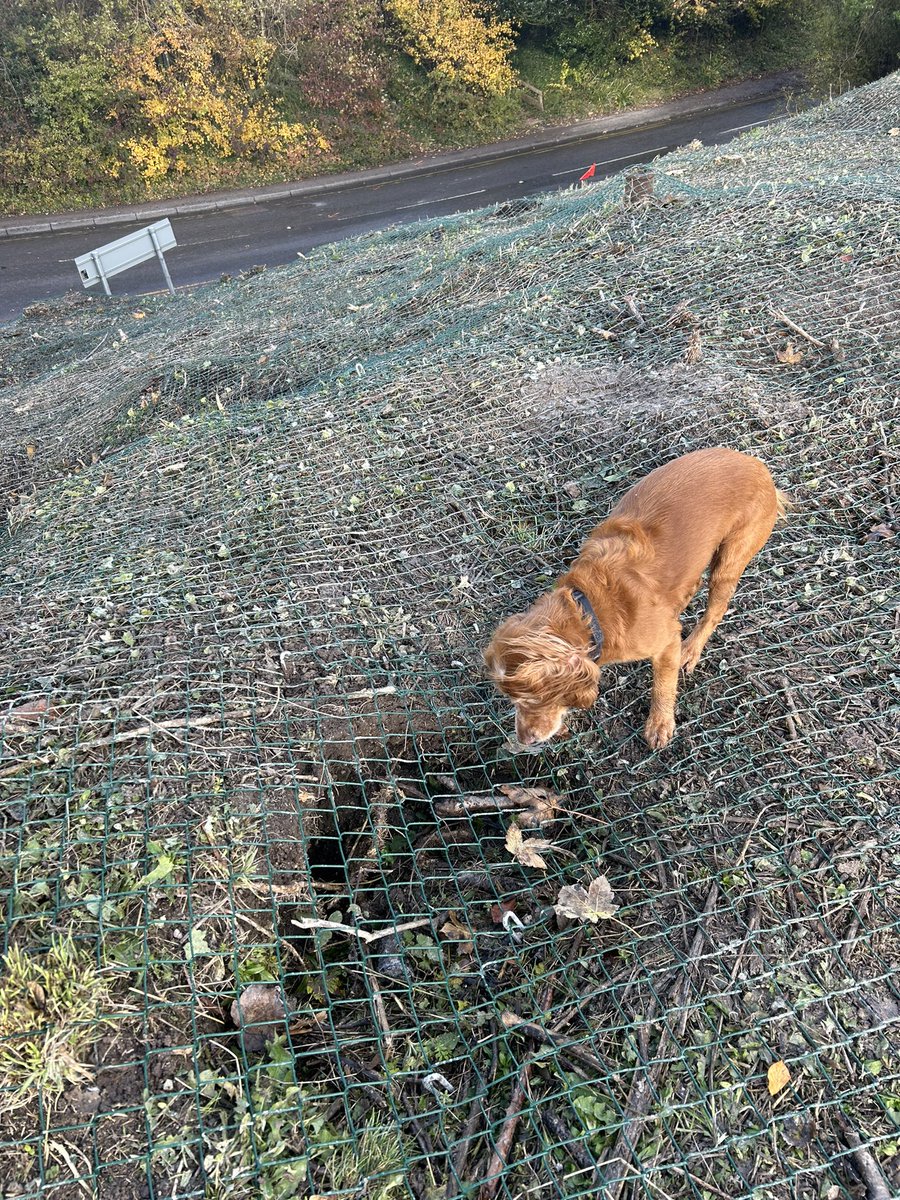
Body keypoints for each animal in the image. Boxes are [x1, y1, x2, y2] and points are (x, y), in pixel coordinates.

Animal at [487, 451, 787, 748]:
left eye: (533, 698)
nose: (524, 740)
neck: (589, 609)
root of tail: (757, 465)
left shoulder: (666, 642)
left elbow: (663, 686)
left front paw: (660, 724)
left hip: (731, 558)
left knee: (716, 609)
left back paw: (691, 650)